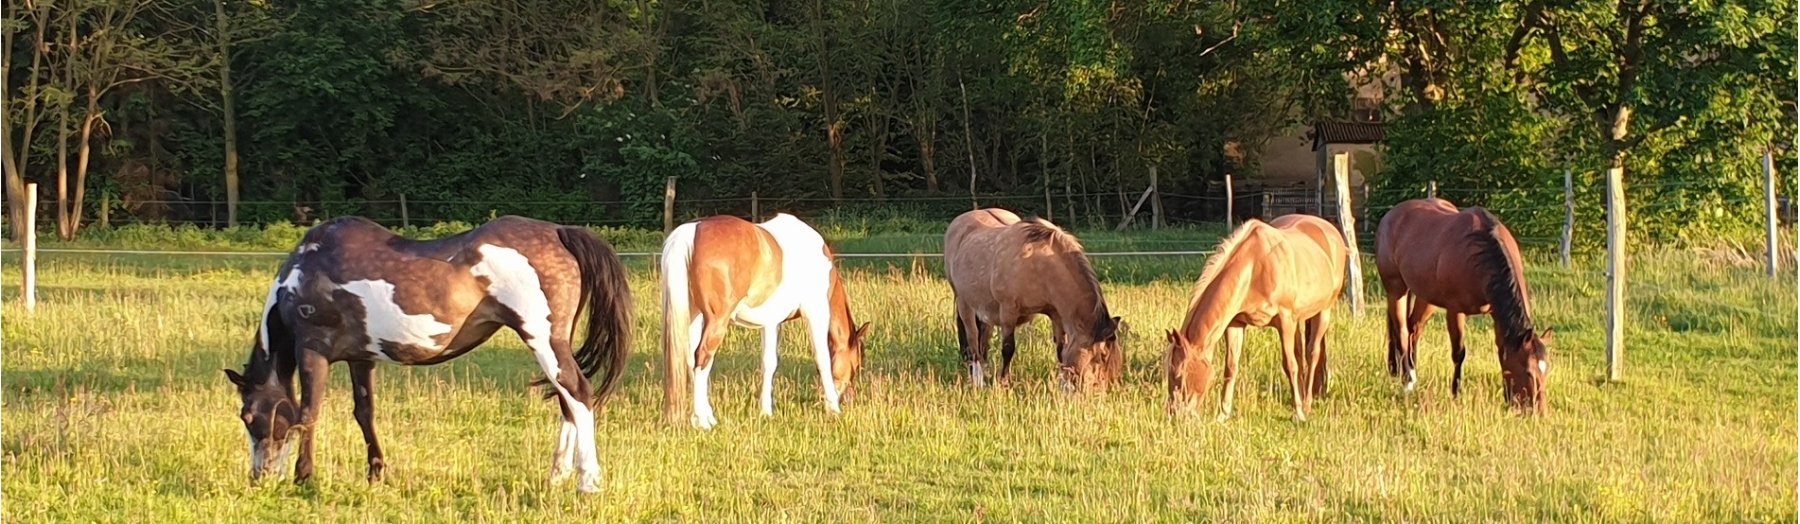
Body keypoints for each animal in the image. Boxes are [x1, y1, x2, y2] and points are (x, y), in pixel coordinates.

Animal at [225, 216, 637, 493]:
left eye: (248, 416)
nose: (259, 476)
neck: (302, 275)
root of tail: (559, 231)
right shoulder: (361, 358)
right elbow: (364, 413)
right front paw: (376, 472)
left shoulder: (313, 351)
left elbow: (307, 414)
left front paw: (304, 477)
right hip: (555, 343)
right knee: (568, 402)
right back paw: (555, 477)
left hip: (543, 341)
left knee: (578, 395)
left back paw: (587, 482)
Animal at [662, 213, 871, 432]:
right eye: (857, 364)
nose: (848, 398)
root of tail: (693, 229)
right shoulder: (816, 313)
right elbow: (823, 360)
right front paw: (833, 408)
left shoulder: (771, 322)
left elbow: (768, 363)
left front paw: (766, 411)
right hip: (716, 321)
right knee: (702, 359)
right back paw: (703, 421)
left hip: (694, 316)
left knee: (690, 360)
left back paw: (703, 416)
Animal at [950, 209, 1116, 394]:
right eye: (1102, 356)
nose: (1099, 391)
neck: (1038, 262)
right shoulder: (1008, 311)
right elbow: (1008, 348)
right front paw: (1003, 384)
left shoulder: (1056, 314)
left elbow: (1061, 350)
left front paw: (1064, 388)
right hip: (965, 304)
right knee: (972, 341)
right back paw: (979, 382)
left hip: (985, 311)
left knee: (982, 342)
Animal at [1159, 213, 1346, 423]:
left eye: (1179, 373)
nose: (1175, 415)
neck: (1254, 267)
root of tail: (1330, 230)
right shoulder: (1236, 324)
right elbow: (1231, 367)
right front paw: (1223, 414)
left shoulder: (1284, 320)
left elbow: (1289, 365)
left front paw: (1298, 413)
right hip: (1298, 319)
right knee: (1299, 354)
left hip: (1323, 312)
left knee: (1312, 353)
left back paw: (1306, 403)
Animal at [1375, 198, 1548, 414]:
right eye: (1528, 372)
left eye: (1546, 371)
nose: (1539, 412)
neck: (1479, 253)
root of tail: (1391, 215)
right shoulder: (1455, 310)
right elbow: (1459, 353)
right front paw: (1456, 393)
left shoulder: (1496, 314)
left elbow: (1502, 352)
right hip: (1395, 288)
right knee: (1402, 331)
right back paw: (1407, 380)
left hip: (1425, 296)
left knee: (1414, 328)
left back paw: (1409, 371)